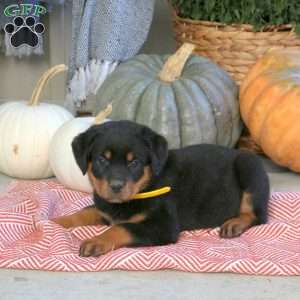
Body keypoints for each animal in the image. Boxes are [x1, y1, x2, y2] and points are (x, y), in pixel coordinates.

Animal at [52, 120, 270, 256]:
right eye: (102, 160)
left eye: (134, 163)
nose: (116, 186)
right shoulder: (103, 207)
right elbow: (83, 212)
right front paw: (55, 222)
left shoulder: (163, 225)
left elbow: (122, 227)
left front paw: (96, 241)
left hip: (249, 167)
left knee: (258, 215)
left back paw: (234, 224)